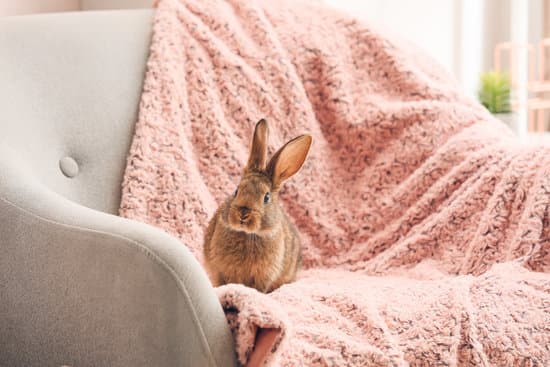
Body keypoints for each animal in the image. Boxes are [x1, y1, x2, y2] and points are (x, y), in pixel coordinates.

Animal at [204, 119, 314, 294]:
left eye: (266, 197)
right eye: (236, 191)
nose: (243, 213)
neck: (248, 234)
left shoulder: (264, 275)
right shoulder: (220, 270)